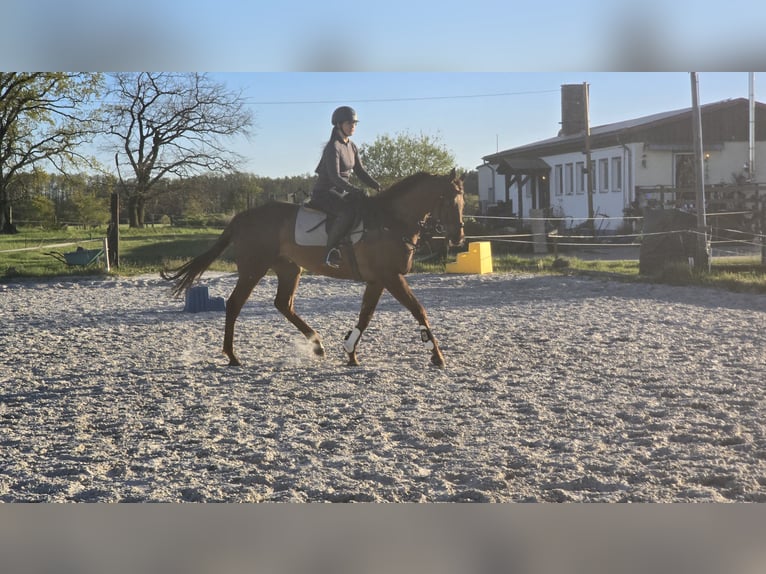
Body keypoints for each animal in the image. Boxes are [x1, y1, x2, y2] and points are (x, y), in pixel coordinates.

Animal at [162, 169, 465, 368]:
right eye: (450, 201)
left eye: (462, 202)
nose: (458, 237)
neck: (391, 221)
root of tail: (242, 216)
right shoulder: (391, 277)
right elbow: (418, 310)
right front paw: (436, 355)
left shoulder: (378, 280)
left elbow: (365, 316)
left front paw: (351, 352)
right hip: (253, 268)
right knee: (235, 304)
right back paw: (232, 356)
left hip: (289, 269)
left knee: (283, 304)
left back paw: (317, 345)